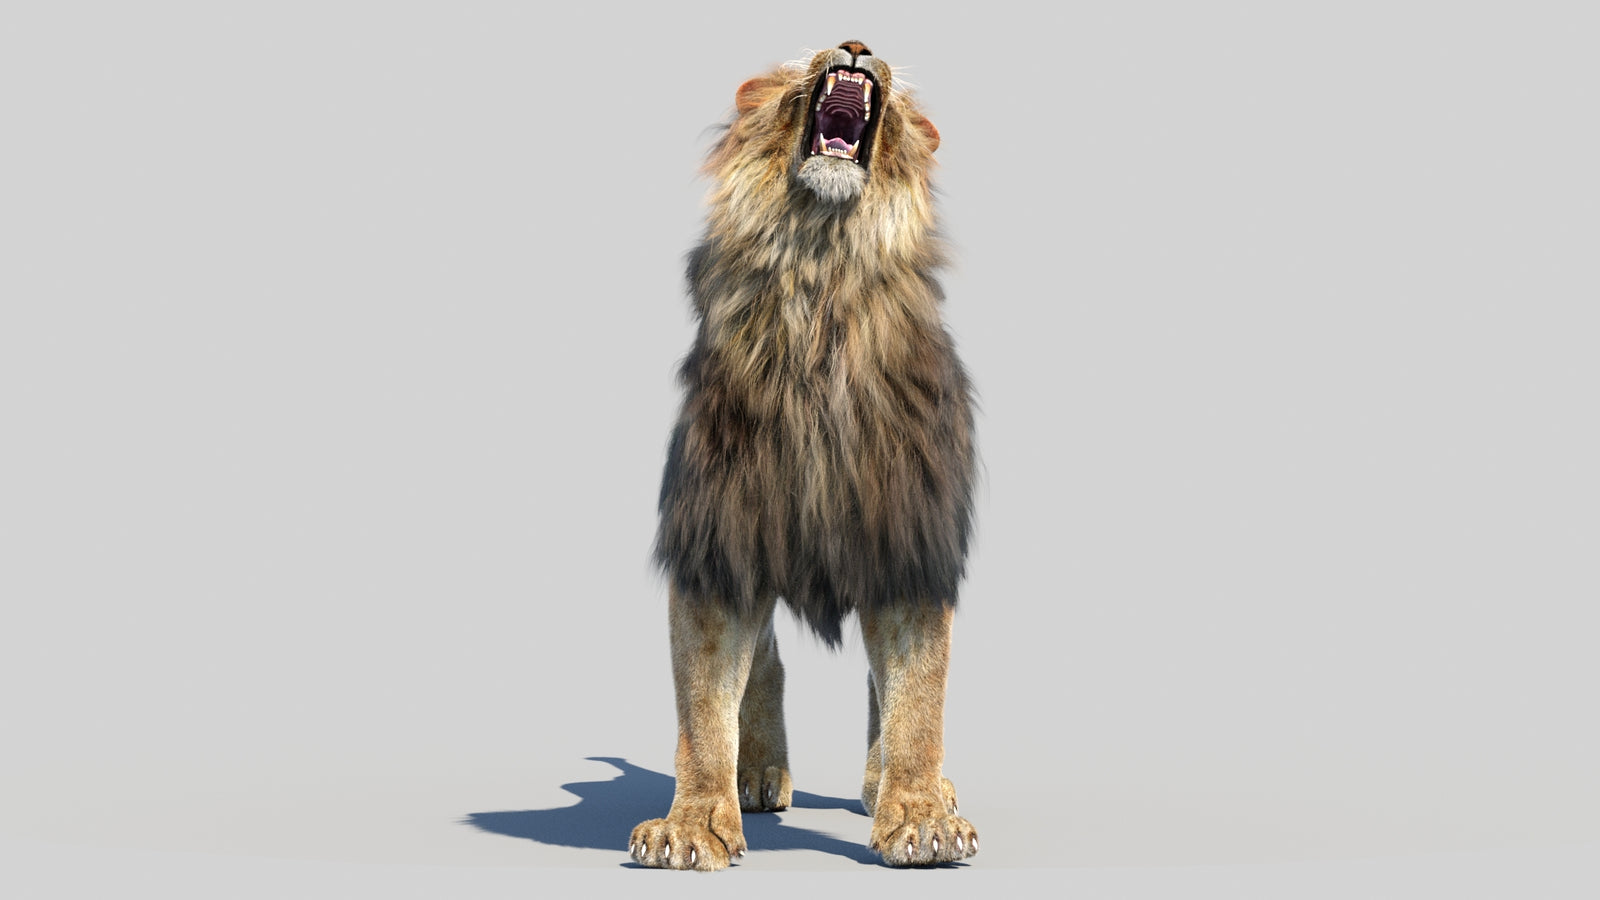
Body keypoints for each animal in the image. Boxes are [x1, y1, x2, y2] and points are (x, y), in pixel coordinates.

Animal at [629, 41, 978, 870]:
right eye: (796, 70)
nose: (855, 44)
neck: (821, 272)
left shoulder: (908, 541)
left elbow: (918, 695)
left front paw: (919, 816)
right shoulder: (718, 539)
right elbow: (703, 703)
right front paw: (693, 824)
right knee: (766, 660)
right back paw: (757, 774)